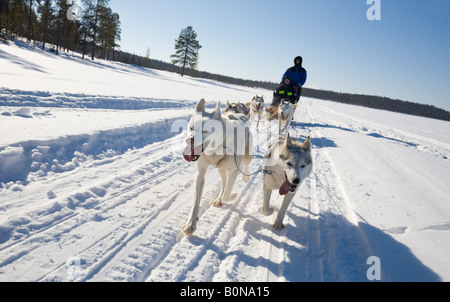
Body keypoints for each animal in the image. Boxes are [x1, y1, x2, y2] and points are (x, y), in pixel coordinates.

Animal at [183, 99, 253, 236]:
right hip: (220, 168)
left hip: (245, 157)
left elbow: (227, 195)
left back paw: (245, 178)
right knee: (224, 183)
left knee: (246, 165)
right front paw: (191, 223)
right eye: (191, 128)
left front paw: (232, 195)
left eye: (205, 131)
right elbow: (195, 201)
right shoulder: (200, 173)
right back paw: (218, 198)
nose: (189, 140)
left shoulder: (233, 171)